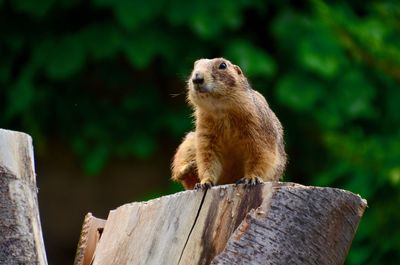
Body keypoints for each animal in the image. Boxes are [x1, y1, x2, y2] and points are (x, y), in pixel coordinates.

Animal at [170, 56, 286, 189]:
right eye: (195, 66)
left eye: (223, 65)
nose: (197, 78)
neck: (221, 110)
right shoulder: (205, 133)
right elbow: (207, 158)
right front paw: (205, 182)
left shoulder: (259, 127)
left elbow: (262, 154)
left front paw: (251, 178)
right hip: (189, 142)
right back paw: (187, 168)